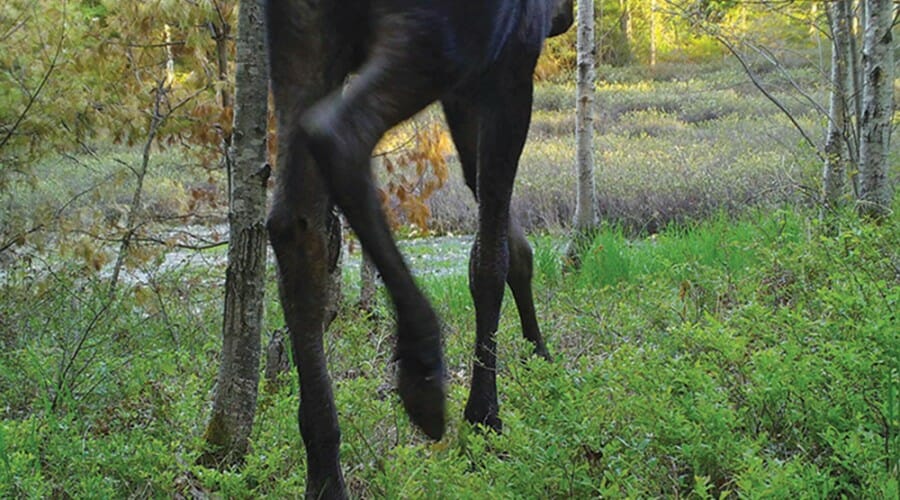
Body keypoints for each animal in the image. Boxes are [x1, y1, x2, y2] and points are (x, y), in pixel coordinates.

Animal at [260, 0, 572, 496]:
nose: (566, 17)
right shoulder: (510, 63)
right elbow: (490, 259)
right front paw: (484, 419)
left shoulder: (468, 90)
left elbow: (508, 243)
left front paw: (538, 354)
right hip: (444, 36)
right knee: (341, 133)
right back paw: (420, 362)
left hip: (303, 38)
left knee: (295, 225)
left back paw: (325, 470)